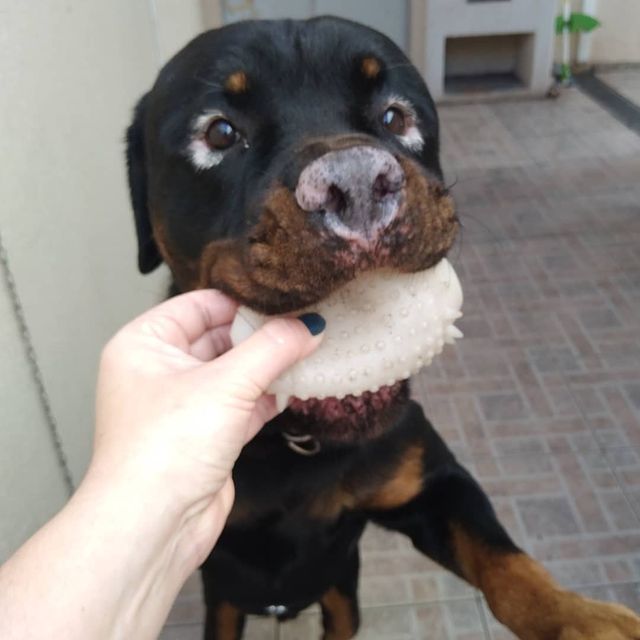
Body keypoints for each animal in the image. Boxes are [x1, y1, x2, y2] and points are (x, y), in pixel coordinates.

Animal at [126, 16, 640, 640]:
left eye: (396, 116)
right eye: (220, 133)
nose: (356, 182)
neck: (304, 449)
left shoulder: (432, 484)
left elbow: (505, 562)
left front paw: (580, 616)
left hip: (344, 596)